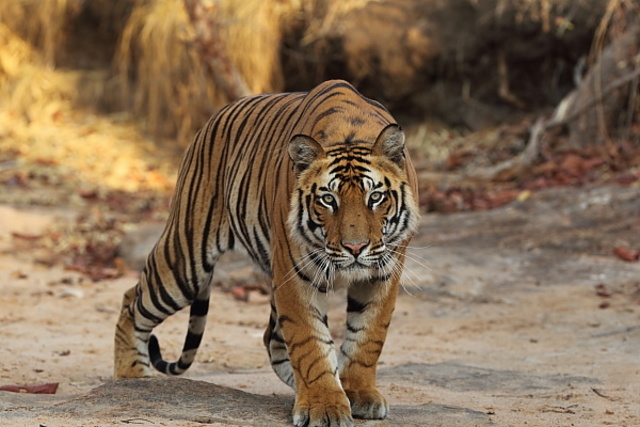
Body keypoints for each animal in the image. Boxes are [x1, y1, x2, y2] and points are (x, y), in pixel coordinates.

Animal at [114, 80, 419, 427]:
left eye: (376, 197)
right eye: (328, 199)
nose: (355, 248)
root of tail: (214, 116)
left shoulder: (383, 273)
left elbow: (367, 337)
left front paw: (358, 393)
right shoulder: (295, 274)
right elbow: (309, 341)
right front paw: (324, 405)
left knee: (271, 339)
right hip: (185, 261)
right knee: (132, 301)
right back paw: (132, 377)